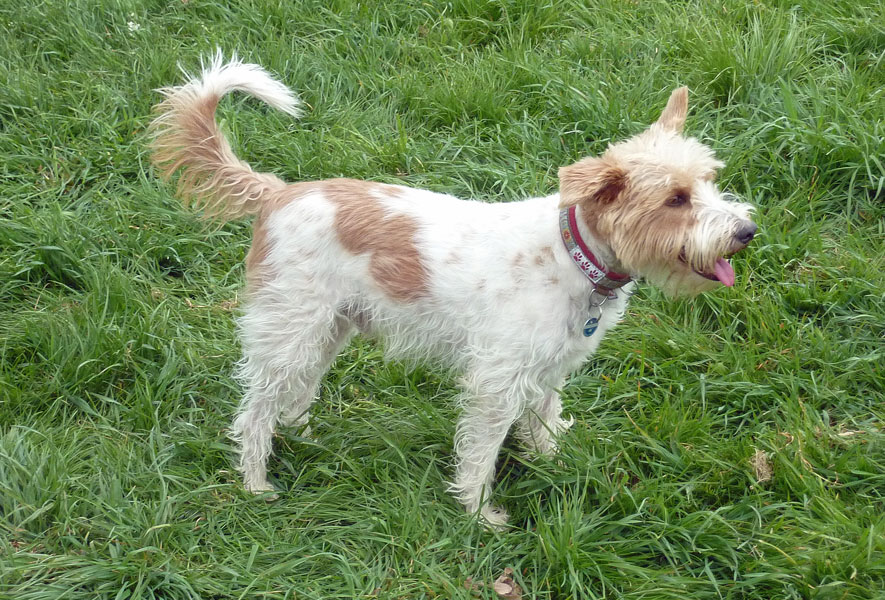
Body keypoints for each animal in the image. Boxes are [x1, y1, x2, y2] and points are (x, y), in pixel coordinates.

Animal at [150, 55, 756, 527]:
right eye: (676, 199)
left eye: (709, 181)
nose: (746, 231)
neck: (570, 255)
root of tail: (277, 193)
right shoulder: (496, 383)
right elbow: (482, 454)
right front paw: (480, 514)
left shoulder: (549, 368)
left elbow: (543, 423)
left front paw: (557, 461)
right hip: (290, 332)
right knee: (253, 412)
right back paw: (255, 483)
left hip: (327, 330)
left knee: (293, 399)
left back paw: (304, 438)